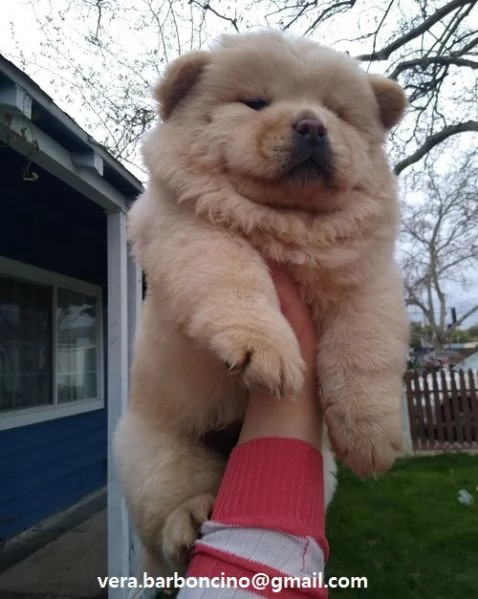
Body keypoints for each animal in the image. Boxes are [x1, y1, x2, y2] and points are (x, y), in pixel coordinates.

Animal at [114, 30, 408, 576]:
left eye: (336, 111)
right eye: (255, 103)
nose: (312, 125)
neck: (288, 222)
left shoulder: (370, 278)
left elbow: (365, 346)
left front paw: (371, 436)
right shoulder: (189, 231)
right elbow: (236, 275)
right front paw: (266, 351)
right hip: (153, 451)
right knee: (166, 517)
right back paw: (190, 522)